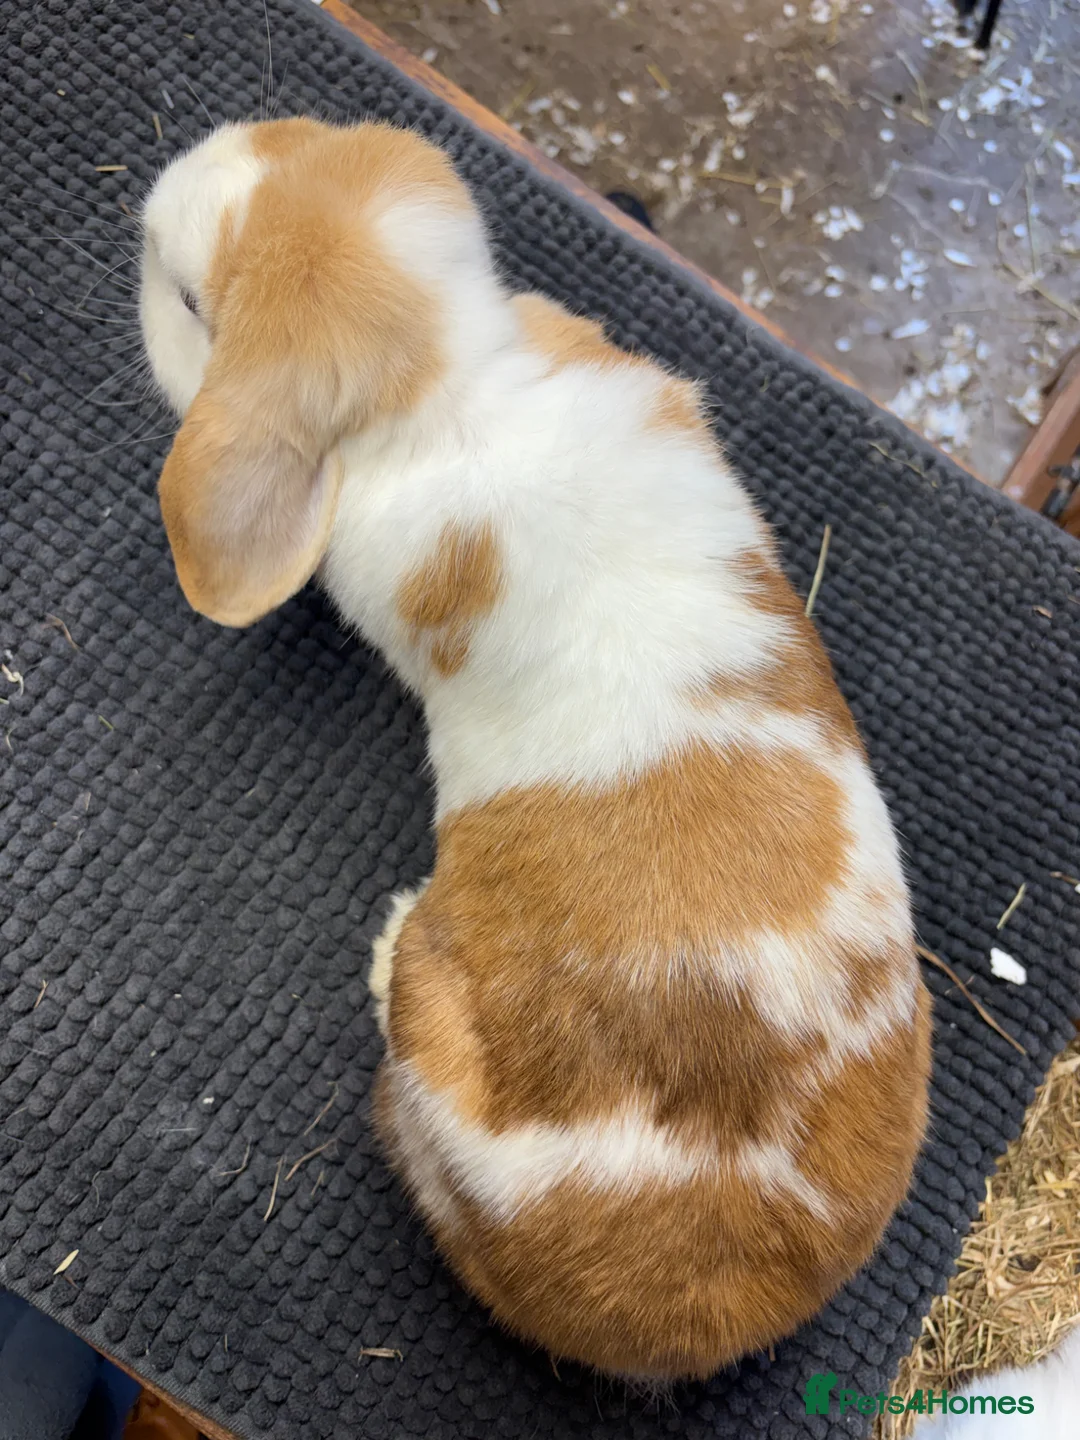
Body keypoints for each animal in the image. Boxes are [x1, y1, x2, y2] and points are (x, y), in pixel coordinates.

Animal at [139, 116, 931, 1382]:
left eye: (187, 300)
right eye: (296, 134)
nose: (162, 190)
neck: (453, 384)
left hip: (435, 1005)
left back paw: (383, 945)